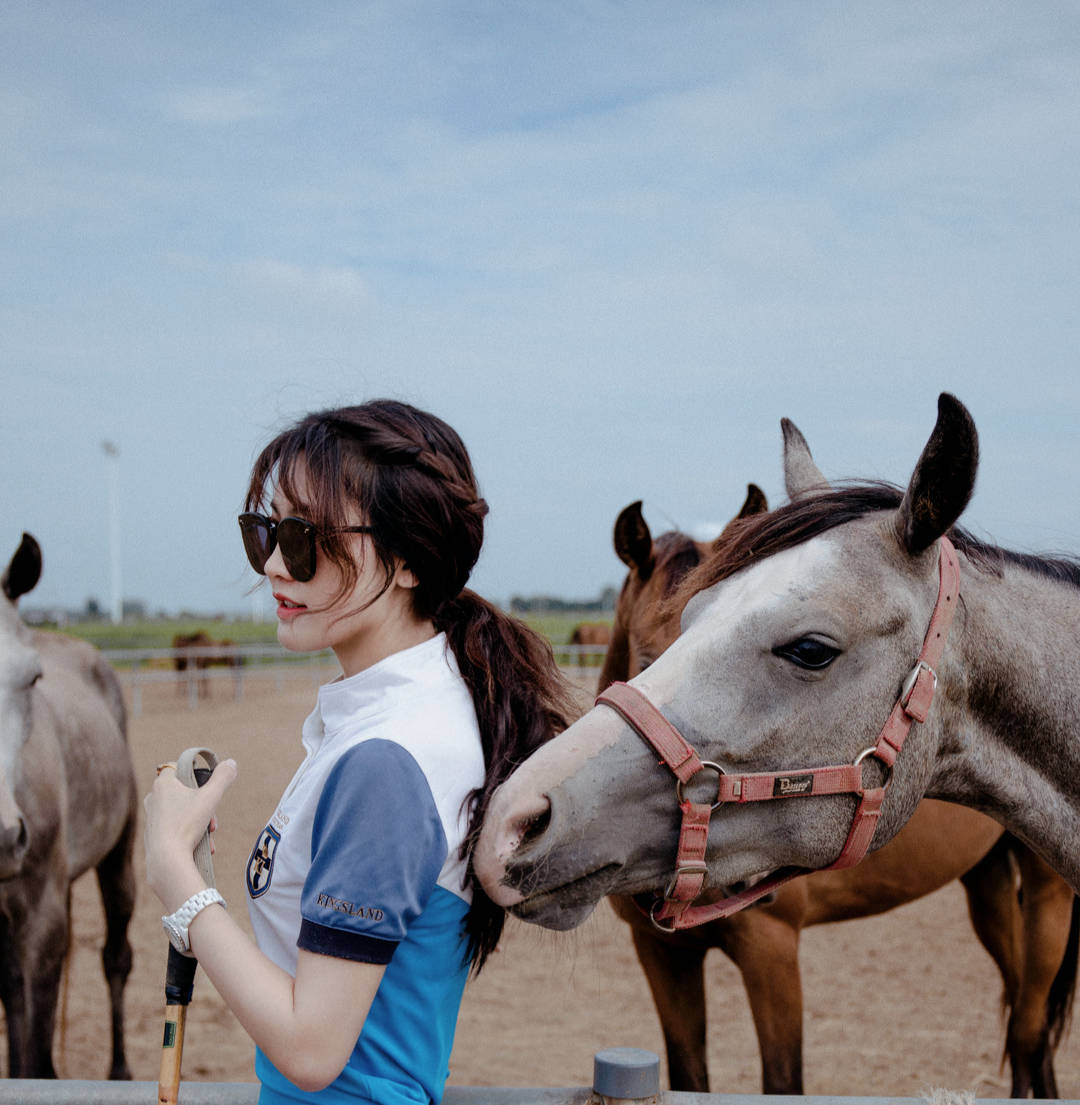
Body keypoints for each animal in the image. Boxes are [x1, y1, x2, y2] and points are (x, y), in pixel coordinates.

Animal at [0, 530, 137, 1074]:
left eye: (32, 678)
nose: (4, 838)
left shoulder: (43, 918)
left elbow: (39, 1060)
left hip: (118, 857)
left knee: (116, 959)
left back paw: (119, 1071)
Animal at [596, 492, 1078, 1096]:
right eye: (645, 660)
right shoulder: (662, 954)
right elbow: (688, 1075)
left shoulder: (772, 950)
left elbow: (783, 1081)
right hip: (986, 885)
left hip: (1046, 897)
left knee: (1030, 1028)